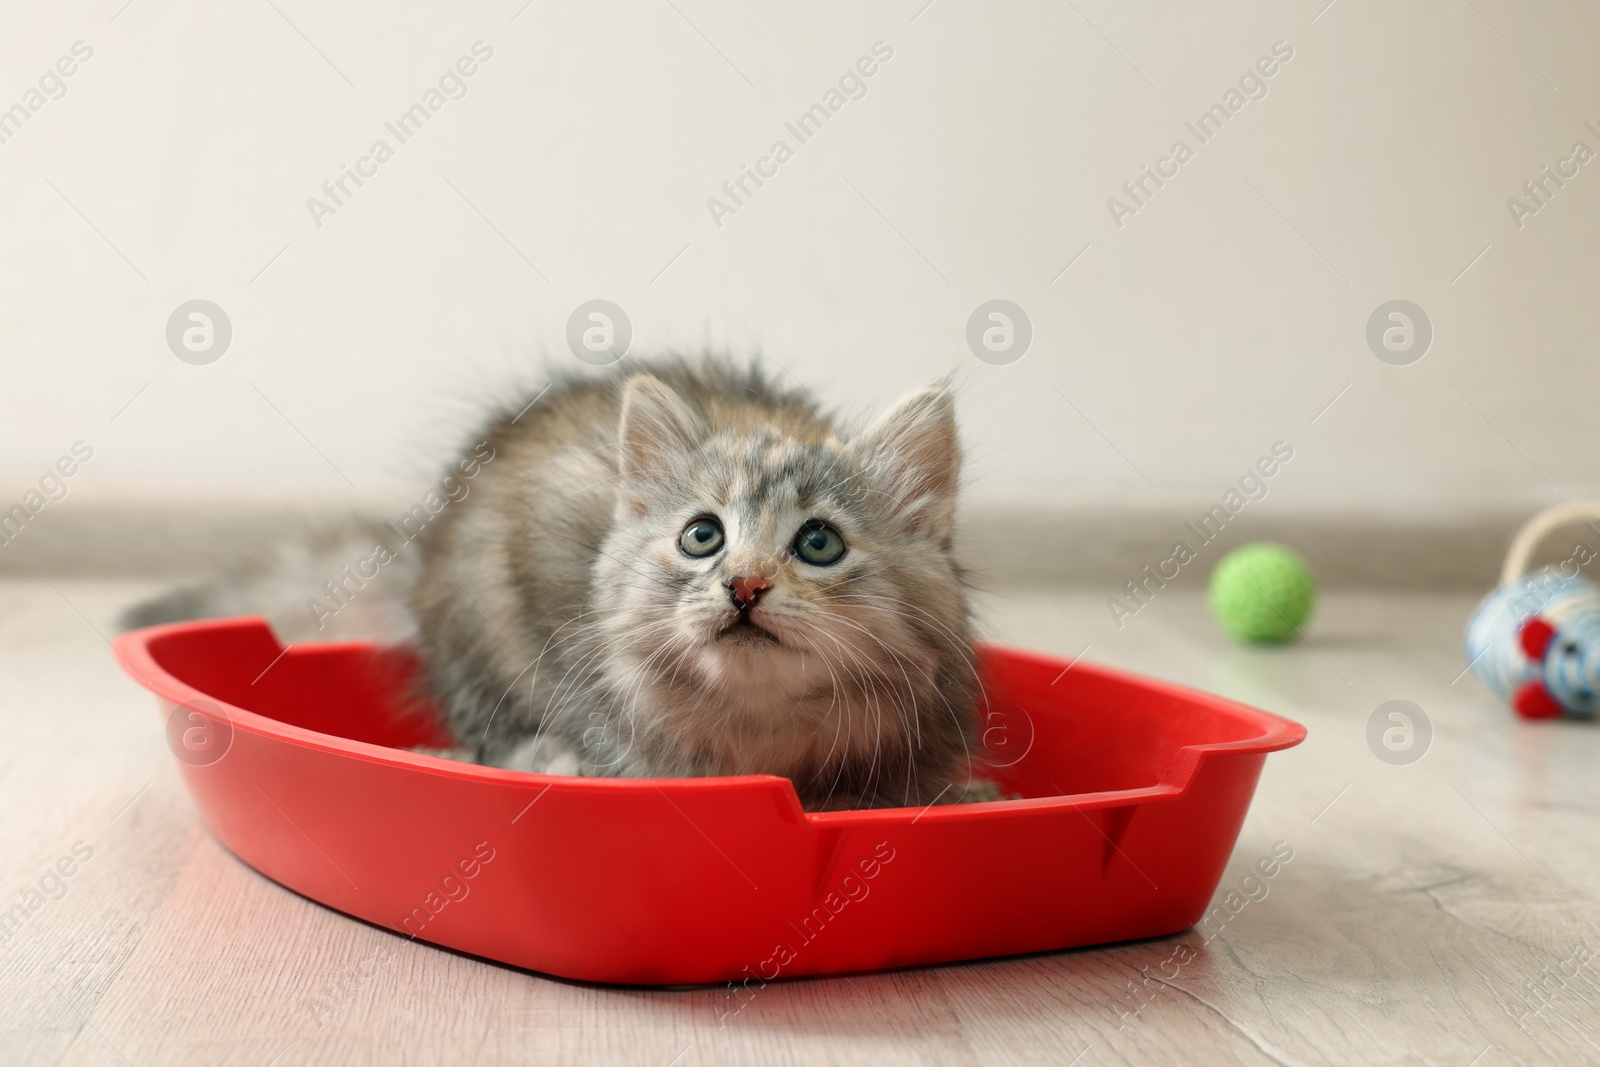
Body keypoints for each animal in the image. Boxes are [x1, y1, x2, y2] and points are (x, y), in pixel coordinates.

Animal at [128, 358, 985, 809]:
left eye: (818, 542)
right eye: (702, 535)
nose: (743, 586)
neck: (758, 728)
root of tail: (426, 547)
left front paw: (950, 797)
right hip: (479, 625)